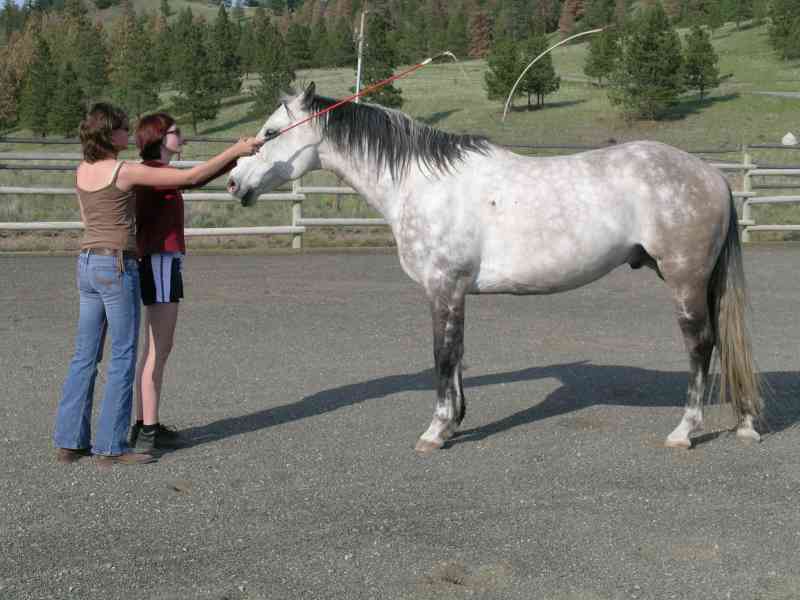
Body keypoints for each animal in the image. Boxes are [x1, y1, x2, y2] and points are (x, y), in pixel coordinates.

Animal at [227, 82, 762, 454]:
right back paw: (744, 424)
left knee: (701, 346)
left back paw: (684, 432)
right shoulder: (456, 291)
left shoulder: (442, 286)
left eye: (270, 133)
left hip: (685, 279)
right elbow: (458, 355)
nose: (233, 183)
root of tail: (713, 175)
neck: (421, 183)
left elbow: (443, 356)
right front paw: (454, 422)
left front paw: (436, 430)